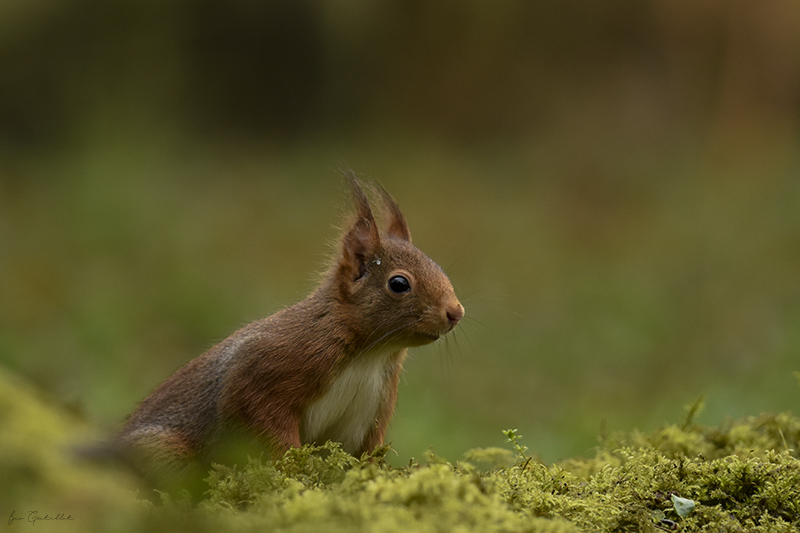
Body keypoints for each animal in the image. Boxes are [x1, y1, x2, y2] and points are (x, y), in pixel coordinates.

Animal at [112, 174, 462, 474]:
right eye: (399, 283)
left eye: (439, 266)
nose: (456, 312)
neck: (370, 356)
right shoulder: (269, 369)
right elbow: (266, 421)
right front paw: (293, 469)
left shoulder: (367, 413)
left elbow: (363, 454)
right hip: (162, 450)